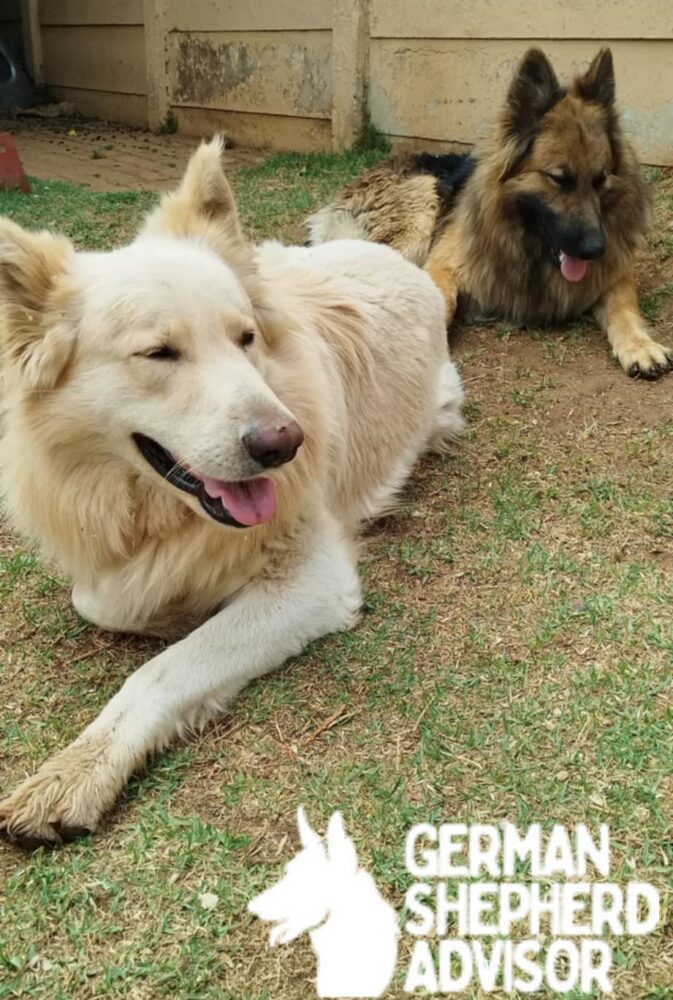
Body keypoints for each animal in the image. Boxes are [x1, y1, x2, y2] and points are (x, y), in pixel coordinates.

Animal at [0, 137, 462, 844]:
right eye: (158, 354)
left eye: (246, 339)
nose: (285, 444)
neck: (157, 515)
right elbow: (101, 600)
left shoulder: (314, 583)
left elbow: (162, 668)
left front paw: (77, 771)